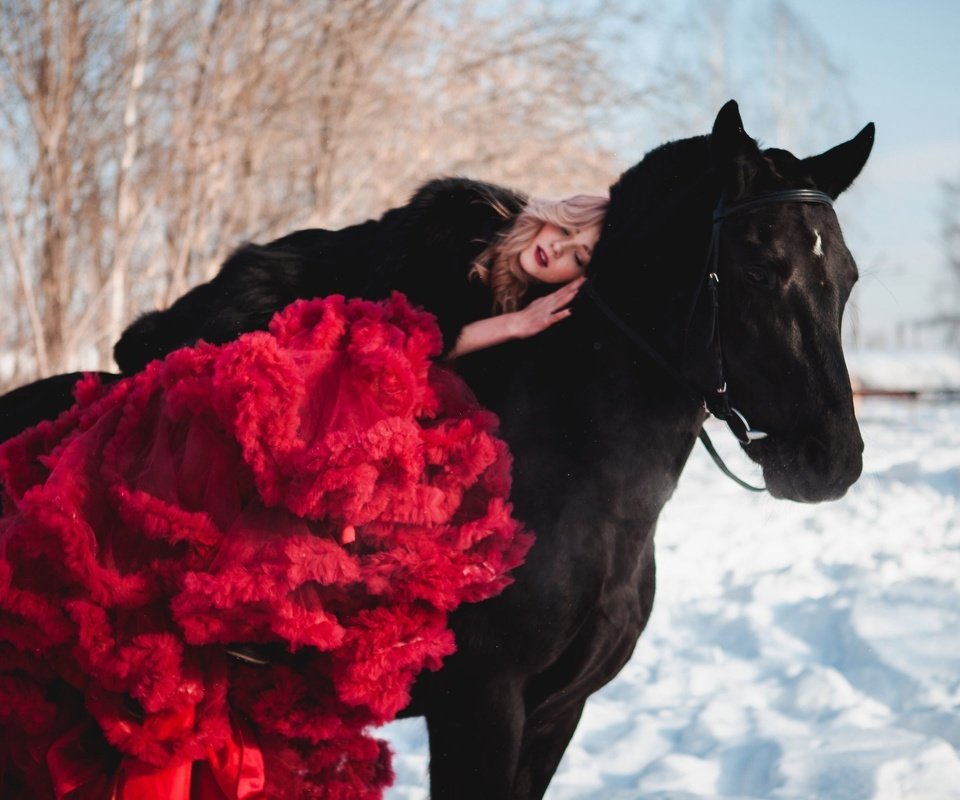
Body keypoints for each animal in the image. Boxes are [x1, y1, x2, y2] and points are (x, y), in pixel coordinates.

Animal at [0, 103, 872, 796]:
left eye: (849, 278)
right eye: (758, 269)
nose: (830, 461)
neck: (575, 490)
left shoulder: (556, 714)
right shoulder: (478, 709)